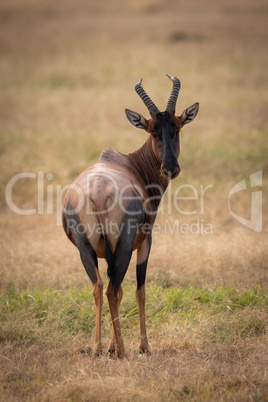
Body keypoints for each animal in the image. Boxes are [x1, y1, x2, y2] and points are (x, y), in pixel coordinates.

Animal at [61, 74, 198, 356]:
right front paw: (143, 346)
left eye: (177, 127)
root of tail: (98, 191)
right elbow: (139, 290)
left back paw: (97, 348)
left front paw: (110, 345)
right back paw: (123, 351)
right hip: (123, 245)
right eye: (153, 130)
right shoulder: (145, 241)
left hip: (85, 248)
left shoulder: (104, 252)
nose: (170, 167)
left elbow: (118, 286)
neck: (130, 163)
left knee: (99, 287)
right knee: (112, 290)